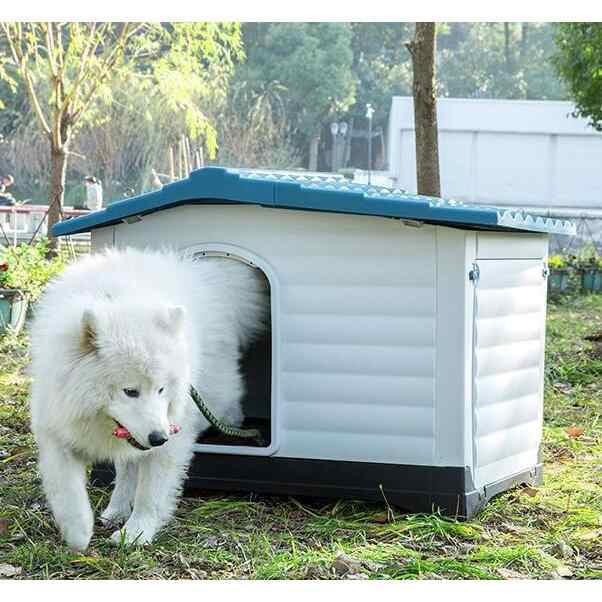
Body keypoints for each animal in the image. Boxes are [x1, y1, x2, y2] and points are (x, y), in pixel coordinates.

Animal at [28, 245, 268, 548]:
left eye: (162, 390)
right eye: (130, 391)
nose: (158, 437)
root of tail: (209, 277)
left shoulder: (170, 437)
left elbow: (150, 494)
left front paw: (136, 533)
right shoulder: (56, 426)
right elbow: (66, 488)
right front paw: (79, 533)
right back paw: (116, 509)